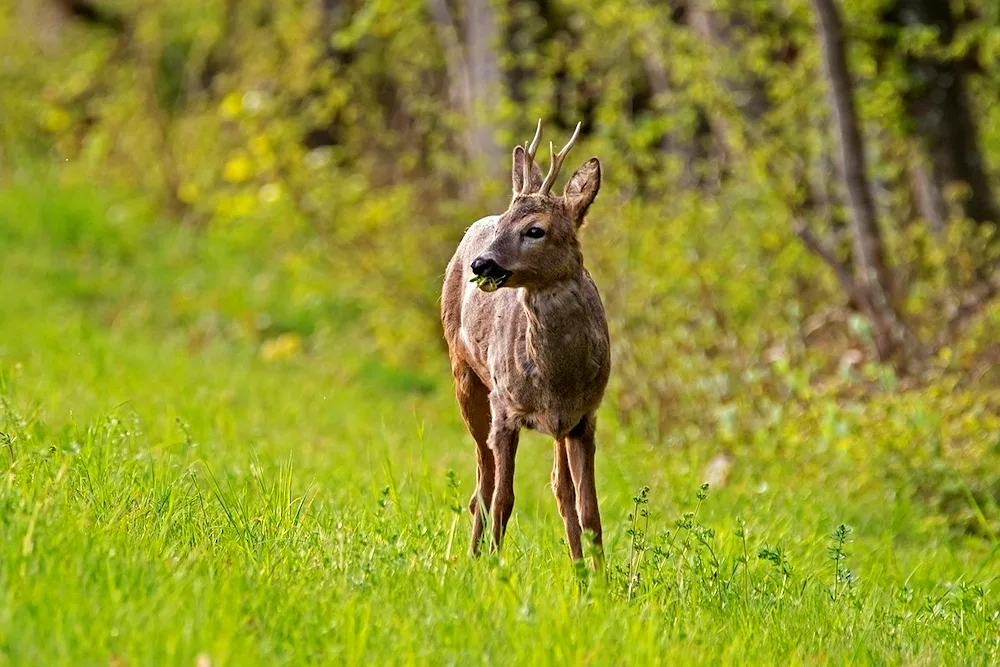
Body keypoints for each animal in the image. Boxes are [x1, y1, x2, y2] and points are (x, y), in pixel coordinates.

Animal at [444, 120, 608, 564]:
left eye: (536, 230)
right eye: (504, 225)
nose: (481, 264)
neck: (557, 379)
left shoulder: (584, 417)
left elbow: (588, 510)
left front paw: (598, 576)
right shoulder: (504, 408)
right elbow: (504, 498)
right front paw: (494, 566)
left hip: (559, 428)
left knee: (558, 488)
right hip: (465, 375)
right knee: (481, 485)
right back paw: (470, 556)